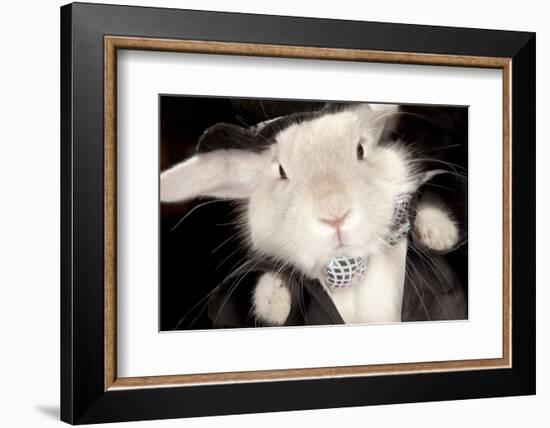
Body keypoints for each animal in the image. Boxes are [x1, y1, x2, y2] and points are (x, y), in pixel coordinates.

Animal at [162, 102, 464, 326]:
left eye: (361, 149)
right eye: (281, 171)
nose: (335, 214)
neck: (350, 267)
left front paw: (439, 233)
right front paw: (273, 302)